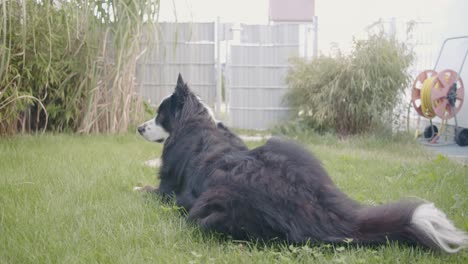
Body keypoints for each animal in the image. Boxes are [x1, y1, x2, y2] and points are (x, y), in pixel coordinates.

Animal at [135, 73, 468, 252]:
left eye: (159, 114)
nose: (138, 128)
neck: (194, 122)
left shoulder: (167, 190)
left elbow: (149, 188)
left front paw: (138, 185)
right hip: (291, 149)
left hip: (209, 209)